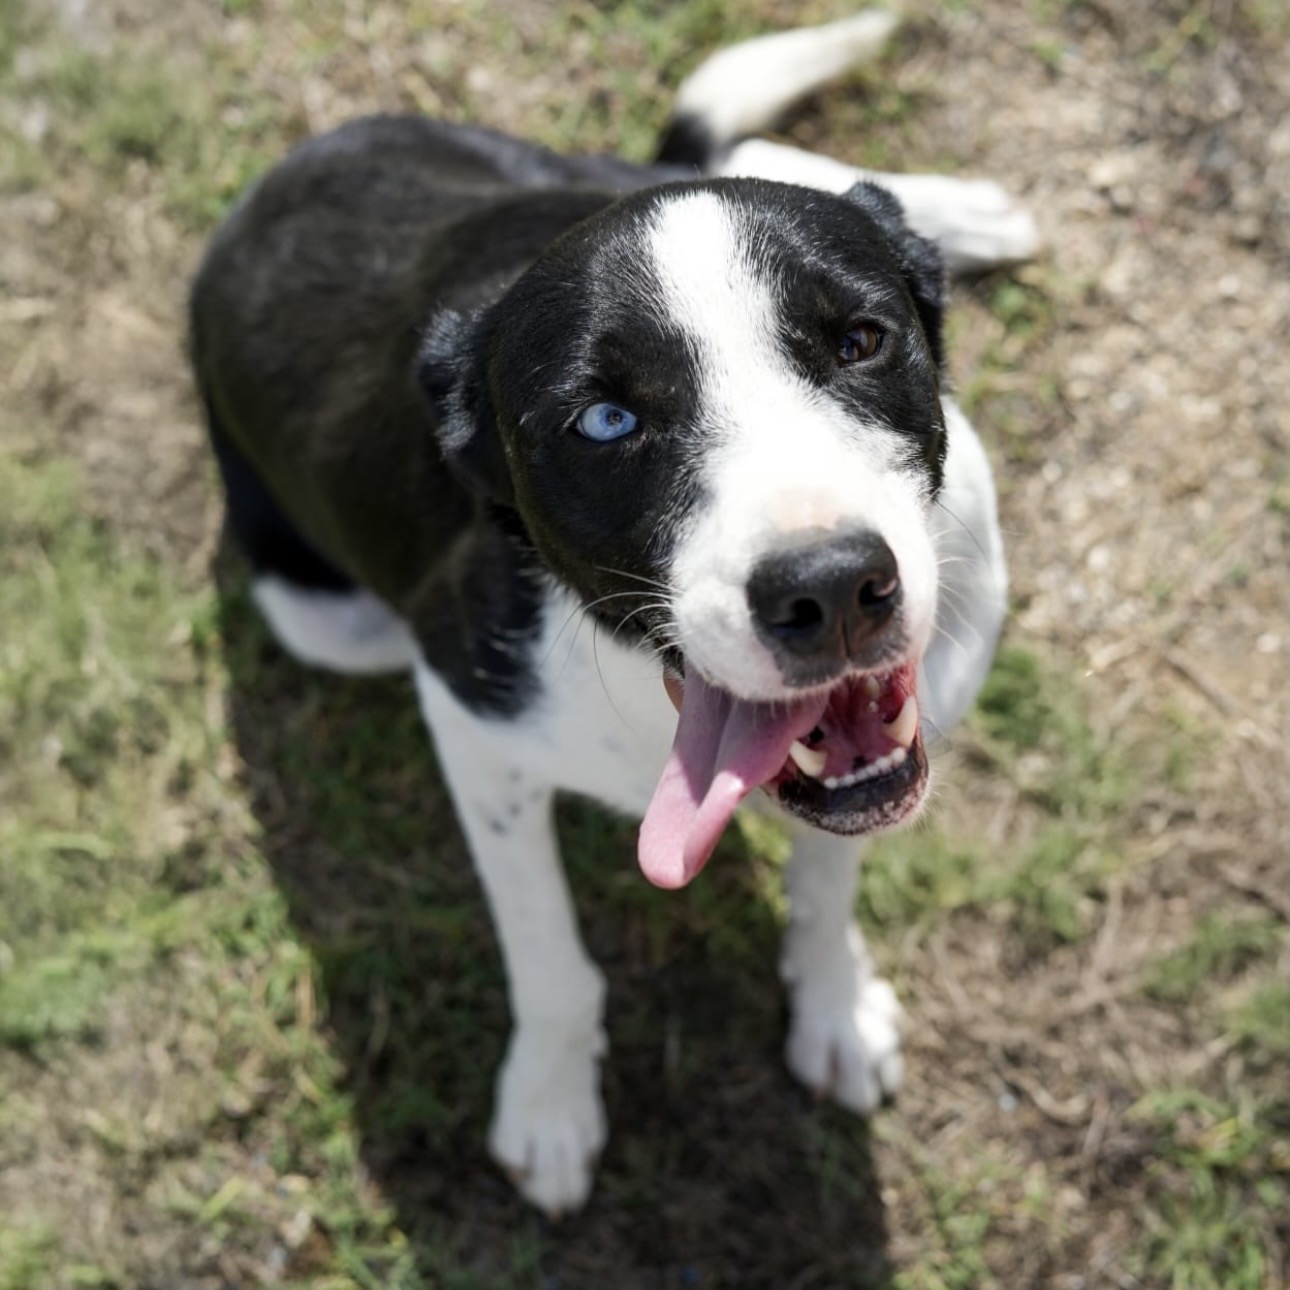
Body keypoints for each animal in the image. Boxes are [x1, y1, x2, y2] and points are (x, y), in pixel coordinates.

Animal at [190, 10, 1033, 1215]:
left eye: (861, 342)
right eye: (603, 421)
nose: (830, 588)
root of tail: (273, 182)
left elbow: (827, 881)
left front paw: (833, 1002)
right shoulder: (470, 721)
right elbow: (546, 949)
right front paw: (549, 1101)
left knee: (737, 157)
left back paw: (955, 213)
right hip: (325, 618)